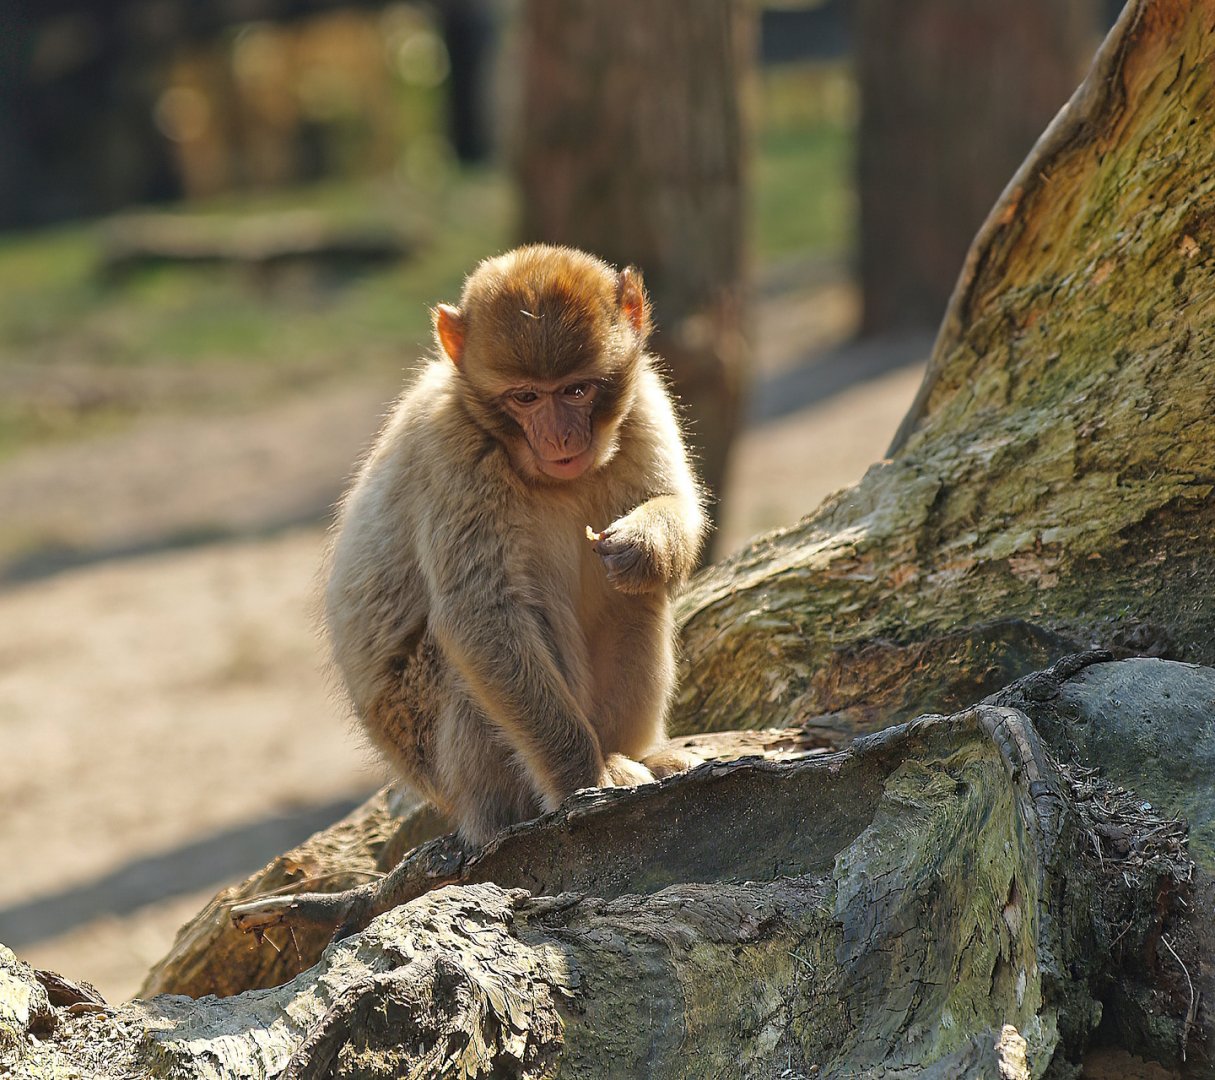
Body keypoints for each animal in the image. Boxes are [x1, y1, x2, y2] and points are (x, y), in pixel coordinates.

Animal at [325, 244, 708, 846]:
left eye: (576, 389)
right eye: (526, 396)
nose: (560, 437)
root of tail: (451, 803)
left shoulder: (645, 403)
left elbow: (679, 508)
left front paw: (643, 543)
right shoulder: (454, 452)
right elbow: (482, 614)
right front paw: (582, 780)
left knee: (636, 598)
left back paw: (636, 752)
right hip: (435, 744)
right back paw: (565, 784)